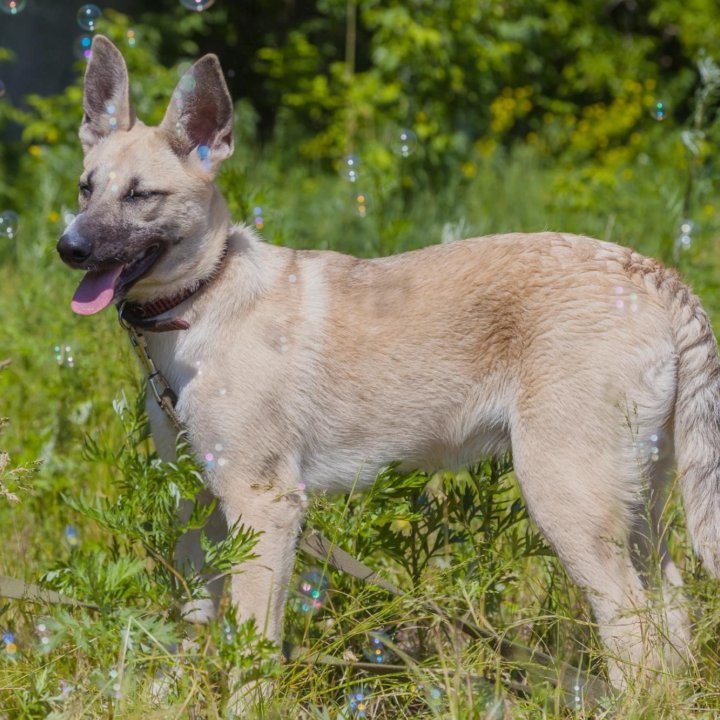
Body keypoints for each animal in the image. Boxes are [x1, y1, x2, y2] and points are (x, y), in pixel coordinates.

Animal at [57, 36, 720, 688]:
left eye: (142, 195)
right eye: (86, 187)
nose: (70, 248)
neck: (202, 298)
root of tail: (653, 273)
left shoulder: (262, 505)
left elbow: (253, 646)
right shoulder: (197, 504)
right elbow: (197, 619)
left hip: (569, 498)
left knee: (634, 635)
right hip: (638, 503)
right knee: (671, 614)